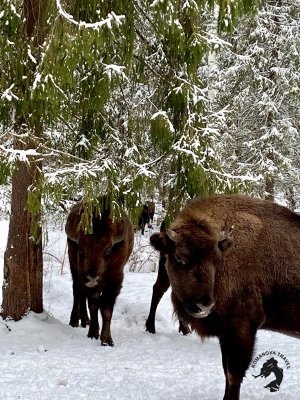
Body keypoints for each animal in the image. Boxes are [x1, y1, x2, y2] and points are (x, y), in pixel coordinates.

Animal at [65, 200, 134, 346]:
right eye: (81, 250)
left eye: (108, 251)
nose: (92, 278)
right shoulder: (85, 279)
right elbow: (94, 305)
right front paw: (93, 333)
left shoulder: (115, 280)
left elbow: (106, 309)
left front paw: (107, 340)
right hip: (75, 269)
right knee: (77, 291)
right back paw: (75, 321)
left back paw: (85, 320)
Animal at [150, 195, 300, 400]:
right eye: (180, 258)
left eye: (215, 259)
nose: (204, 305)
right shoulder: (225, 333)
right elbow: (226, 373)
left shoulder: (242, 328)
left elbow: (233, 375)